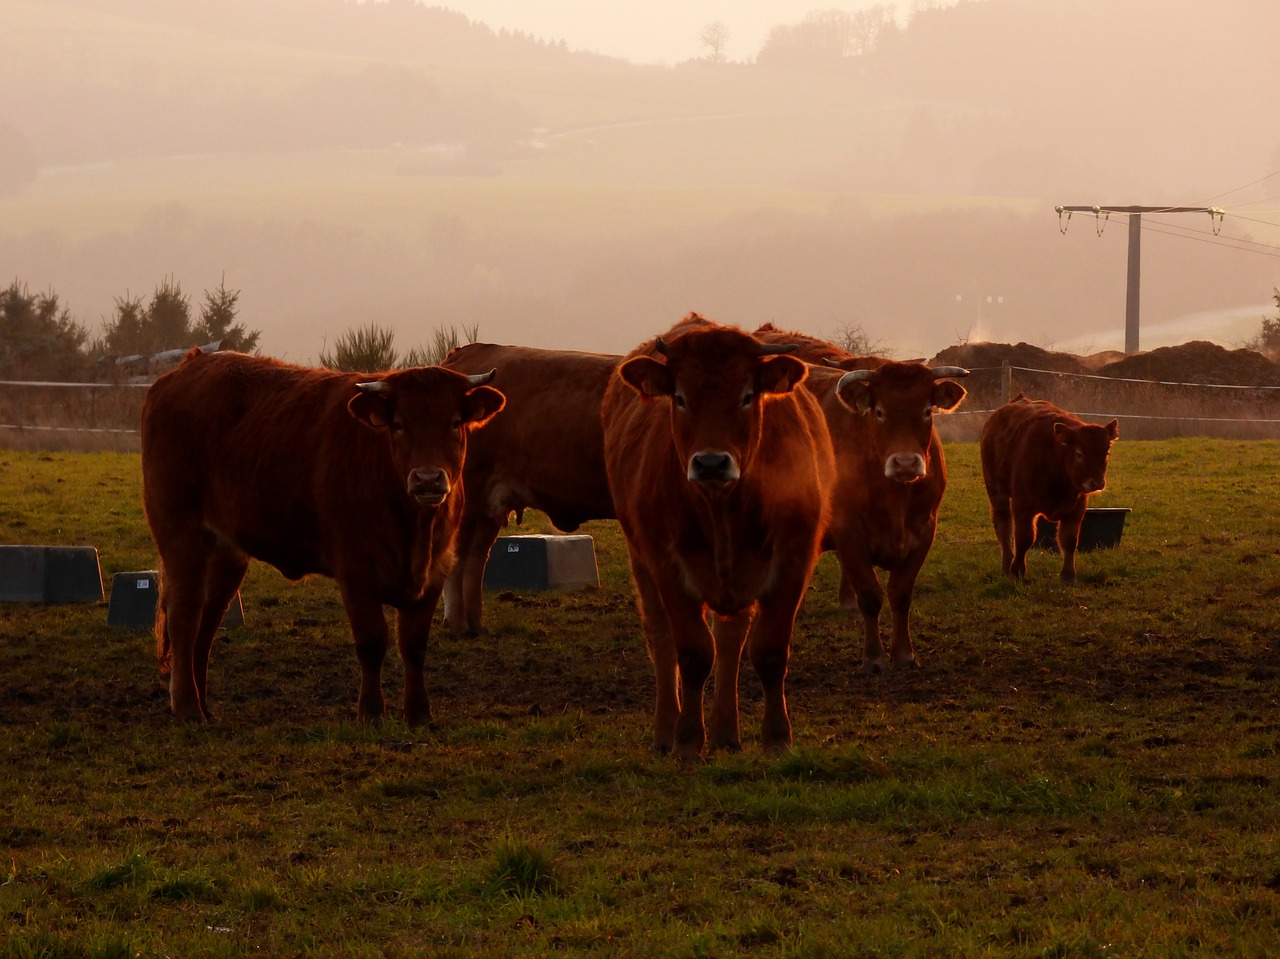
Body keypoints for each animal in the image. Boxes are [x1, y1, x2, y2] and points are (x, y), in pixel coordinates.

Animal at [137, 350, 501, 727]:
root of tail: (192, 363)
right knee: (185, 615)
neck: (415, 527)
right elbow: (372, 641)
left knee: (208, 620)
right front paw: (371, 712)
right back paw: (188, 707)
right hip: (180, 533)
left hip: (225, 551)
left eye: (455, 423)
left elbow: (414, 645)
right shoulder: (356, 570)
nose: (428, 479)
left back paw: (203, 704)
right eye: (398, 424)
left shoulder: (435, 569)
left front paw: (418, 715)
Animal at [440, 343, 619, 635]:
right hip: (469, 499)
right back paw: (458, 624)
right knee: (459, 558)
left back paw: (476, 623)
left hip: (488, 508)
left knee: (475, 559)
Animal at [601, 312, 834, 757]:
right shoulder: (668, 566)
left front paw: (777, 739)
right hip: (642, 561)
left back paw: (726, 732)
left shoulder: (793, 561)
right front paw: (688, 741)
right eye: (679, 397)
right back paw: (666, 732)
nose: (710, 463)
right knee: (661, 639)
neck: (722, 509)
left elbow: (769, 652)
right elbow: (692, 655)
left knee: (730, 638)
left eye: (747, 396)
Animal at [983, 391, 1116, 583]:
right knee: (1003, 527)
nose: (1097, 483)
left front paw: (1068, 575)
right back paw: (1006, 565)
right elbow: (1024, 538)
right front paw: (1017, 571)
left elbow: (1069, 540)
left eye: (1106, 453)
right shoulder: (1022, 506)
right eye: (1079, 453)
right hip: (997, 492)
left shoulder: (1077, 508)